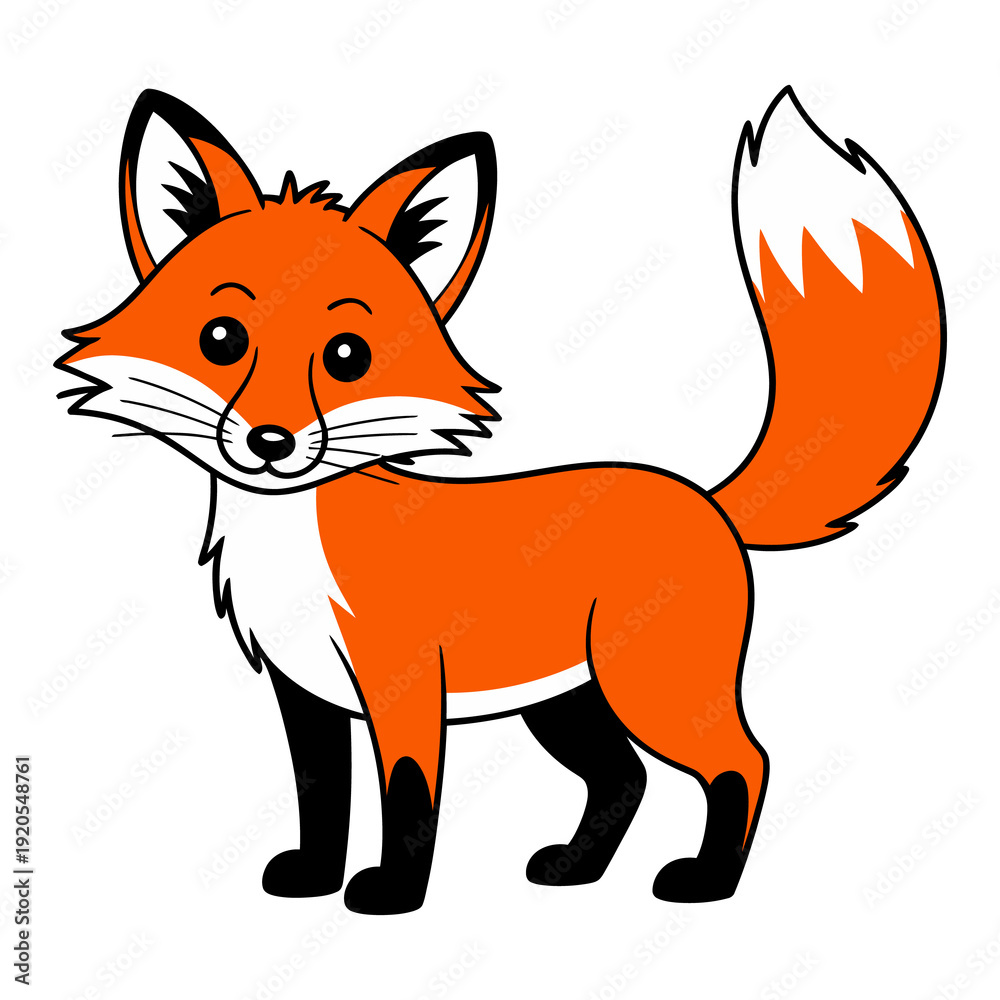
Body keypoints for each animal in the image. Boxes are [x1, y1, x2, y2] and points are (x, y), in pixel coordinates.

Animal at [57, 87, 944, 914]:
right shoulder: (304, 695)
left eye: (347, 356)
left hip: (650, 689)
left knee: (742, 763)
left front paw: (393, 892)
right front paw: (313, 877)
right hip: (568, 706)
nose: (270, 441)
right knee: (624, 779)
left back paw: (706, 882)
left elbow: (407, 796)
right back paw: (575, 869)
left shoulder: (405, 685)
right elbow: (323, 798)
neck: (296, 548)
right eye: (221, 340)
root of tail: (704, 497)